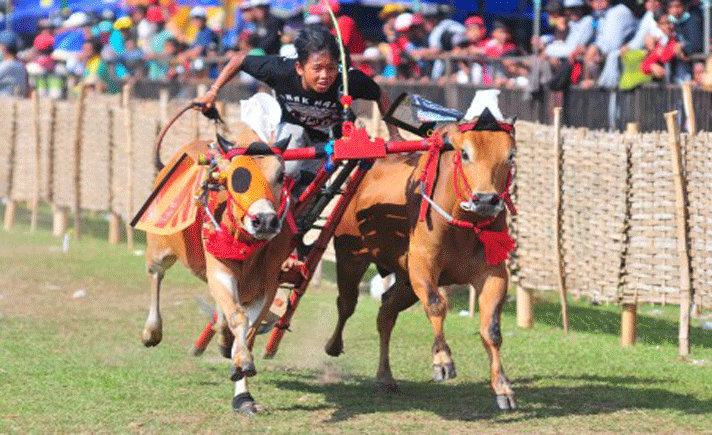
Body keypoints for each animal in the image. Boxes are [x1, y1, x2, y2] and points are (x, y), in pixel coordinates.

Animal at [136, 127, 292, 416]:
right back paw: (152, 332)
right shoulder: (219, 270)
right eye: (236, 178)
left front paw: (243, 389)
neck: (247, 248)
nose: (265, 221)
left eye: (280, 175)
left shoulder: (268, 285)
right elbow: (239, 318)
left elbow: (248, 331)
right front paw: (242, 367)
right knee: (156, 275)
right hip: (159, 249)